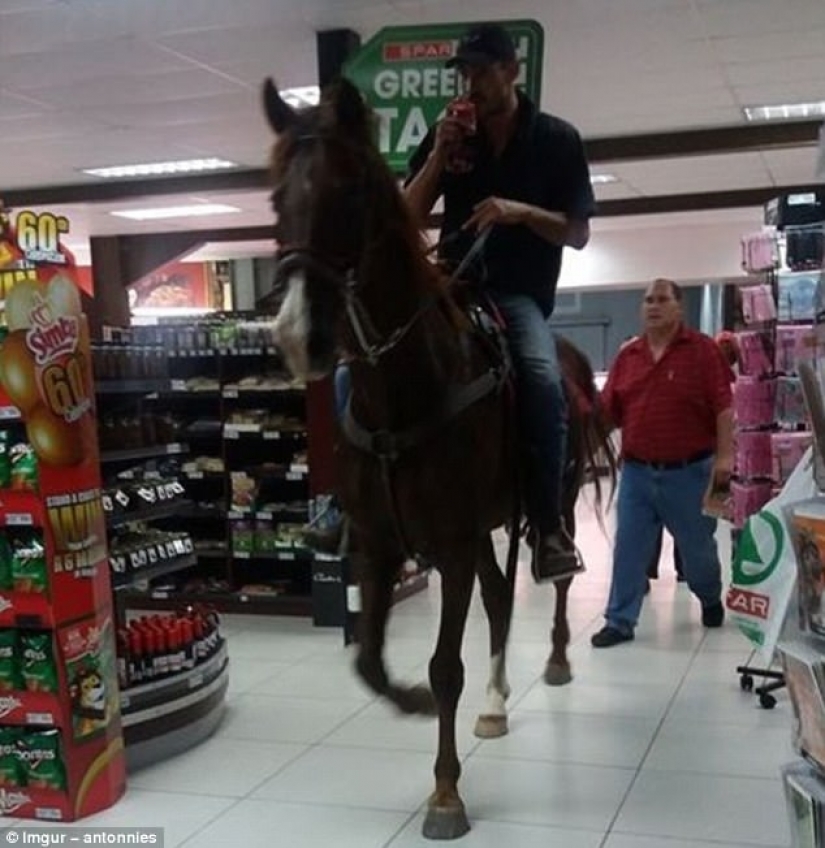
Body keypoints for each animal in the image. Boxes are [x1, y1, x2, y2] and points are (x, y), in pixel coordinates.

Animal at [260, 74, 616, 840]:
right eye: (276, 200)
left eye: (351, 194)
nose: (300, 334)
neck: (407, 386)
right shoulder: (380, 544)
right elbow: (367, 659)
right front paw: (415, 703)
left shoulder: (449, 546)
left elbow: (445, 662)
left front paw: (446, 792)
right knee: (500, 594)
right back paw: (495, 702)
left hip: (554, 499)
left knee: (551, 582)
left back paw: (554, 659)